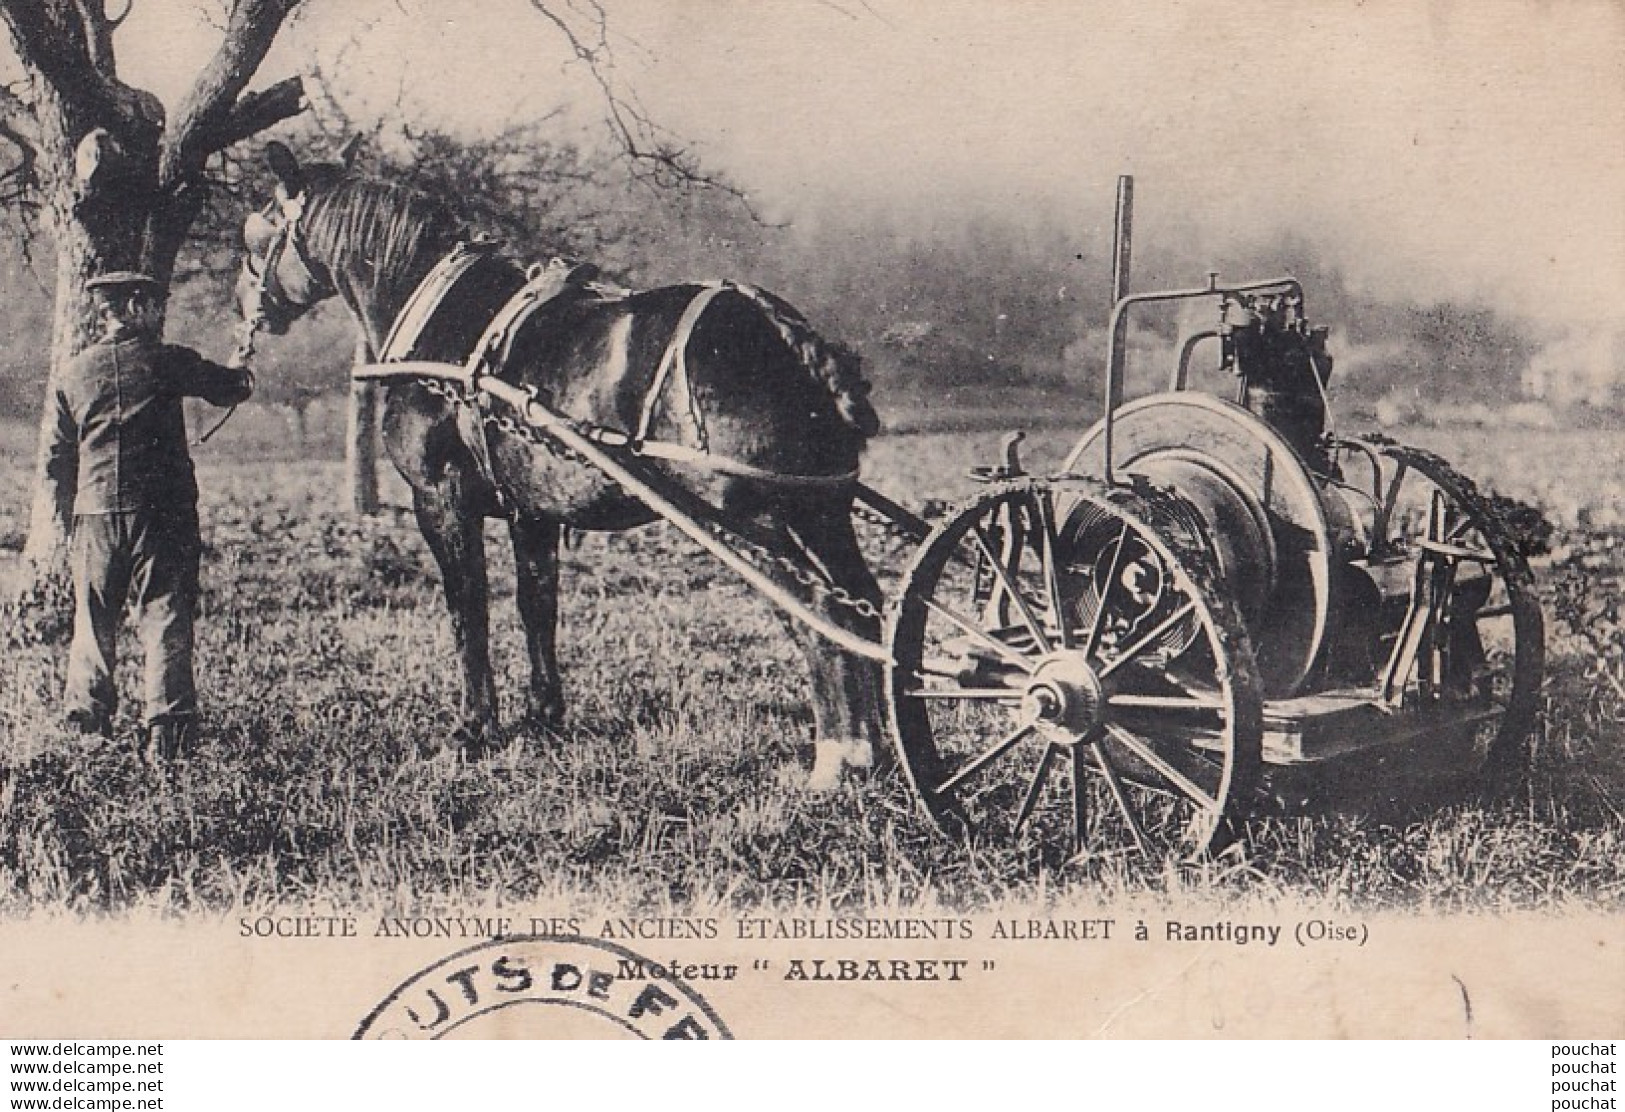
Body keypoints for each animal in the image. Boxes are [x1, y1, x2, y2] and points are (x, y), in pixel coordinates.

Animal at [235, 139, 884, 786]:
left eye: (254, 234)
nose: (244, 308)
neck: (440, 318)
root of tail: (780, 328)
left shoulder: (441, 498)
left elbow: (468, 608)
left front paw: (473, 729)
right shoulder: (532, 510)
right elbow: (536, 605)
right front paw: (544, 717)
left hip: (754, 520)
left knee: (820, 613)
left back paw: (839, 755)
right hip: (820, 513)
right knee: (865, 604)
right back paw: (874, 743)